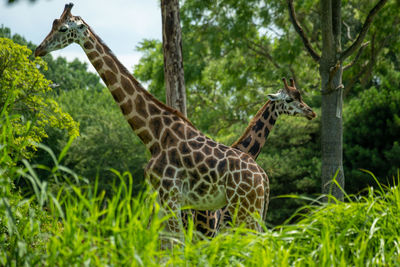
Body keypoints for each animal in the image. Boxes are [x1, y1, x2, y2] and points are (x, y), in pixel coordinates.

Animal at [35, 2, 268, 240]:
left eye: (63, 28)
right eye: (53, 23)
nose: (38, 49)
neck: (154, 135)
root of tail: (264, 179)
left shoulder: (170, 196)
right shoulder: (160, 198)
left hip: (244, 208)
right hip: (250, 210)